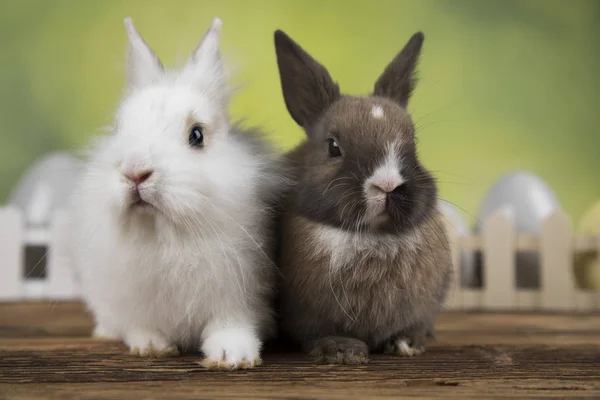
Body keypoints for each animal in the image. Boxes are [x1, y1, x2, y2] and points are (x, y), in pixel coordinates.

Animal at [69, 17, 288, 370]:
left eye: (197, 135)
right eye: (118, 129)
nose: (135, 171)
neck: (166, 236)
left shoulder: (240, 297)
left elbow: (232, 324)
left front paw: (232, 356)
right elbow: (141, 326)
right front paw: (151, 346)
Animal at [272, 29, 450, 364]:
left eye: (414, 143)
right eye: (333, 146)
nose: (388, 184)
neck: (373, 237)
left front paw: (406, 342)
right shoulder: (308, 316)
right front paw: (342, 351)